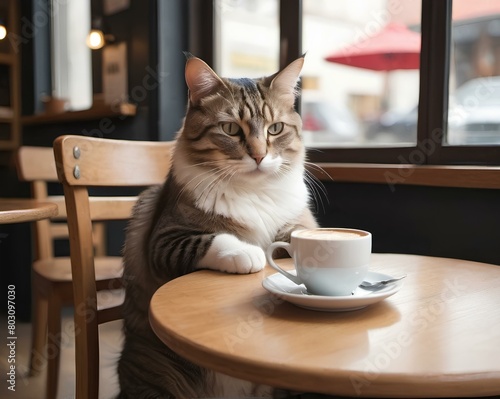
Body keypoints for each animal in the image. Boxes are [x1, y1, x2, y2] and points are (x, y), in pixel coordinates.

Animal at [118, 54, 316, 399]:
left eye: (275, 129)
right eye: (231, 129)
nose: (259, 156)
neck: (253, 191)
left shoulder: (298, 222)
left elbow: (299, 236)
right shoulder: (164, 239)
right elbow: (213, 239)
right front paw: (249, 254)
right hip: (160, 369)